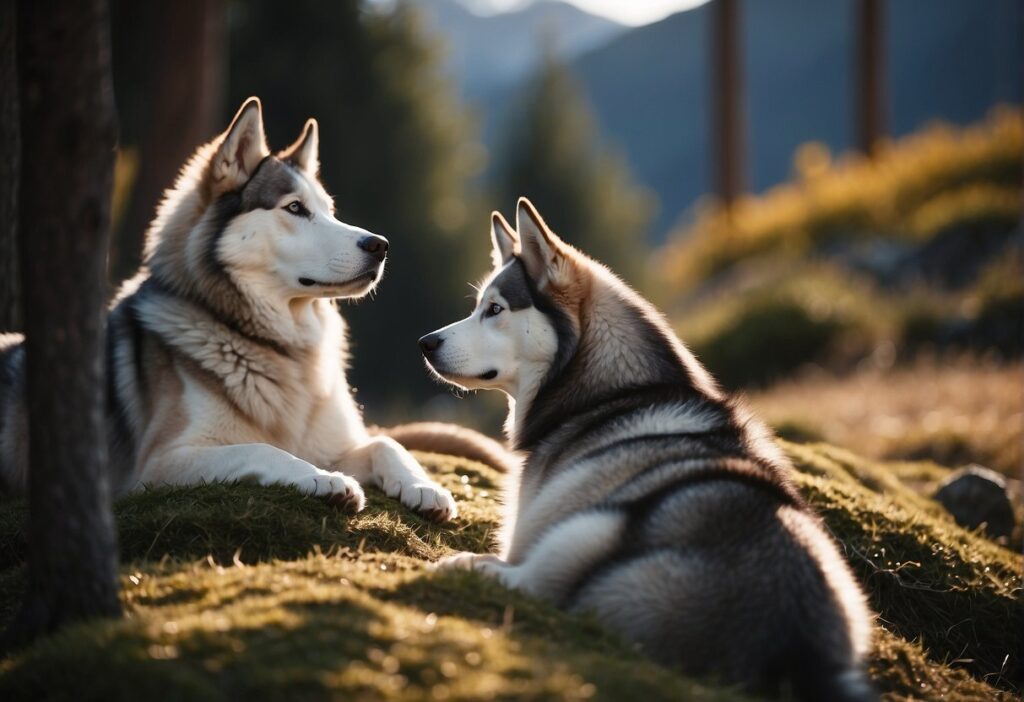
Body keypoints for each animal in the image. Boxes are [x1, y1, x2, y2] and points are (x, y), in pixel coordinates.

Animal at [0, 96, 512, 519]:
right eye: (295, 208)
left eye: (329, 209)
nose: (380, 246)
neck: (277, 348)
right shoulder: (161, 464)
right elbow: (263, 450)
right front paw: (324, 481)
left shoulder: (334, 441)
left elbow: (386, 442)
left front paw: (423, 488)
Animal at [419, 199, 876, 702]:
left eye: (495, 309)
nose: (424, 343)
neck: (612, 396)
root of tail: (793, 646)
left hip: (588, 527)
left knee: (534, 584)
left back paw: (465, 566)